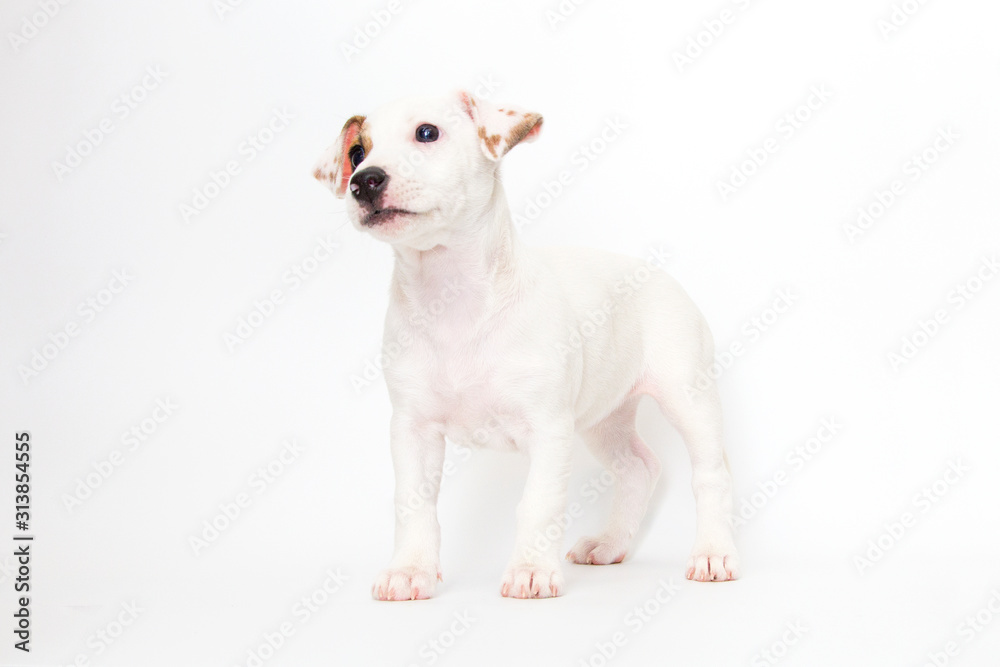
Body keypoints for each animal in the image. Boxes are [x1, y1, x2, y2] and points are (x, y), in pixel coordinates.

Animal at [316, 92, 740, 600]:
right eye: (357, 152)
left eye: (427, 133)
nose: (363, 182)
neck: (451, 296)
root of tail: (653, 271)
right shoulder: (411, 429)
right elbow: (412, 504)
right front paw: (410, 570)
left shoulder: (549, 428)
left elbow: (538, 502)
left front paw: (532, 570)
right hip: (604, 418)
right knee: (640, 467)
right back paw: (610, 543)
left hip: (688, 397)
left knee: (711, 474)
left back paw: (713, 554)